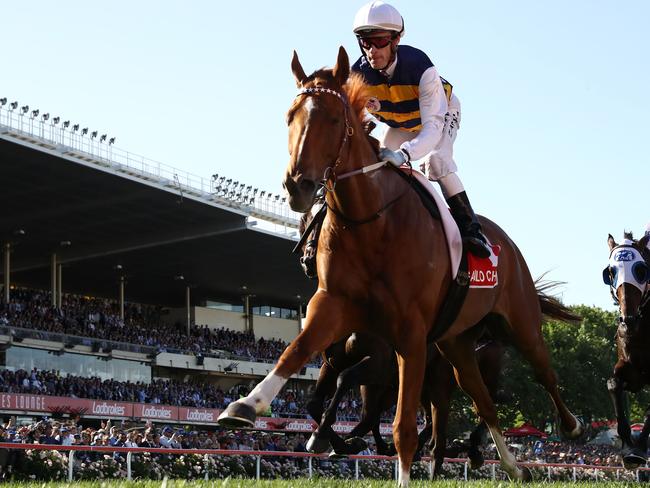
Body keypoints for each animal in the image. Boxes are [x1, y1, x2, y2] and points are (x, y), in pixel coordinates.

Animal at [218, 46, 584, 484]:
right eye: (289, 116)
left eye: (333, 119)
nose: (298, 186)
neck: (372, 222)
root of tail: (506, 243)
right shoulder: (332, 305)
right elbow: (296, 351)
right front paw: (245, 406)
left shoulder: (407, 334)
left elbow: (402, 426)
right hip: (455, 344)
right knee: (482, 400)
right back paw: (511, 466)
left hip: (521, 321)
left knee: (544, 373)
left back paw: (571, 426)